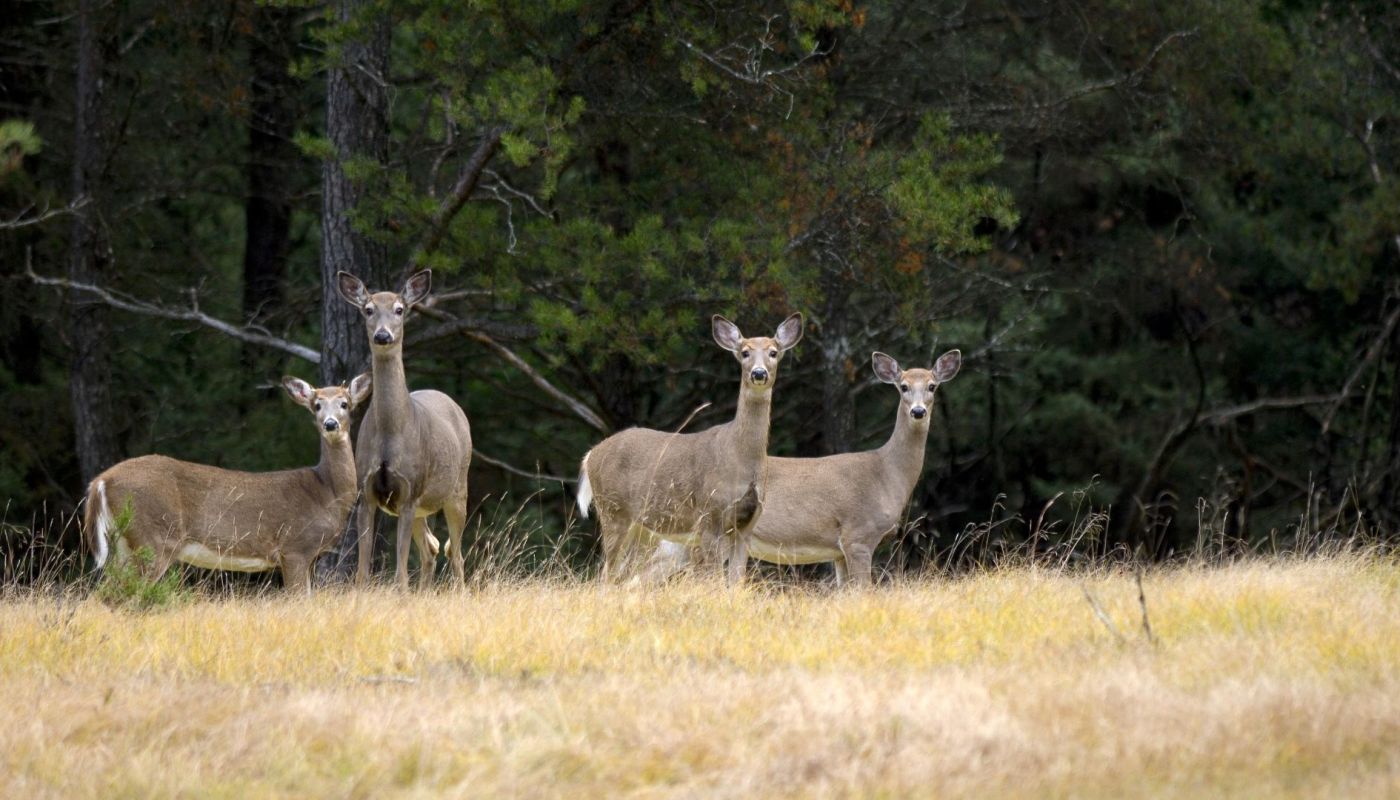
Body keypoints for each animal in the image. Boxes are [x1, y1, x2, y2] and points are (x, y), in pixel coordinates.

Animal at [82, 372, 372, 591]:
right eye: (317, 405)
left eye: (345, 404)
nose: (331, 424)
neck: (325, 492)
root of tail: (100, 481)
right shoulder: (295, 547)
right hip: (153, 538)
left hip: (123, 543)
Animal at [336, 271, 473, 591]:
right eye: (368, 309)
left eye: (400, 309)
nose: (383, 335)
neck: (390, 434)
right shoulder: (367, 493)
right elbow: (362, 571)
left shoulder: (409, 491)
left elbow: (399, 572)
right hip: (422, 507)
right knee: (432, 549)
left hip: (457, 489)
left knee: (456, 554)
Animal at [574, 312, 806, 582]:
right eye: (745, 352)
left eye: (773, 352)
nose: (759, 373)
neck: (740, 457)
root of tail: (591, 455)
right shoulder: (709, 515)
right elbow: (712, 578)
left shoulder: (747, 524)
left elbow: (736, 581)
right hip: (613, 510)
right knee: (606, 575)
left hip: (641, 527)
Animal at [644, 347, 963, 585]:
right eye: (903, 386)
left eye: (932, 386)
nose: (918, 411)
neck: (886, 473)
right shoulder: (858, 534)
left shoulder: (837, 552)